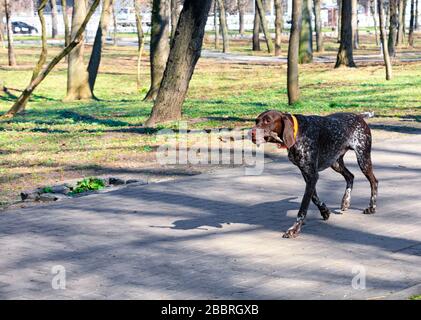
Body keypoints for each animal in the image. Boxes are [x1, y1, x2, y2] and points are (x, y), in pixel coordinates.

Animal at [249, 111, 378, 239]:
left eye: (268, 121)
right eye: (256, 121)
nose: (251, 133)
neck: (298, 132)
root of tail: (358, 116)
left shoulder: (312, 175)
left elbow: (303, 206)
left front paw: (295, 229)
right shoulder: (306, 173)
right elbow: (314, 197)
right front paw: (324, 211)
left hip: (363, 159)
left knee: (374, 181)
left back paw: (371, 207)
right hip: (335, 162)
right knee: (350, 176)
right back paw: (345, 201)